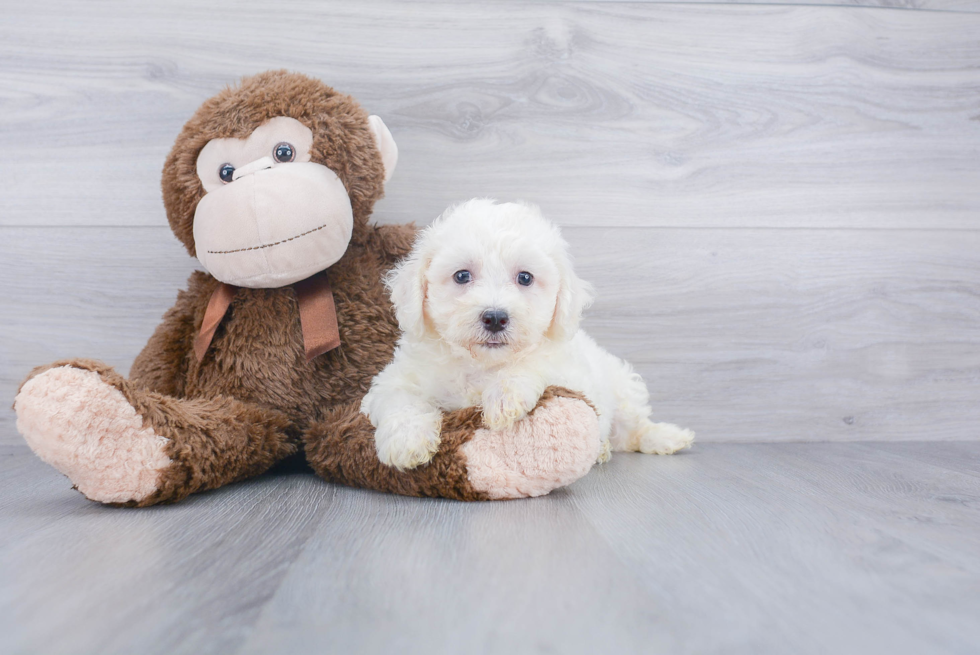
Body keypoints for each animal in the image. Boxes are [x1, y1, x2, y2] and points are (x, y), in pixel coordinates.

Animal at [362, 200, 696, 472]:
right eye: (462, 276)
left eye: (525, 278)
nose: (495, 317)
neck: (481, 364)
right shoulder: (396, 379)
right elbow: (400, 400)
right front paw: (407, 443)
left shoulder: (567, 371)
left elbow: (533, 365)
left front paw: (503, 397)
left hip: (623, 390)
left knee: (633, 429)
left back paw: (665, 438)